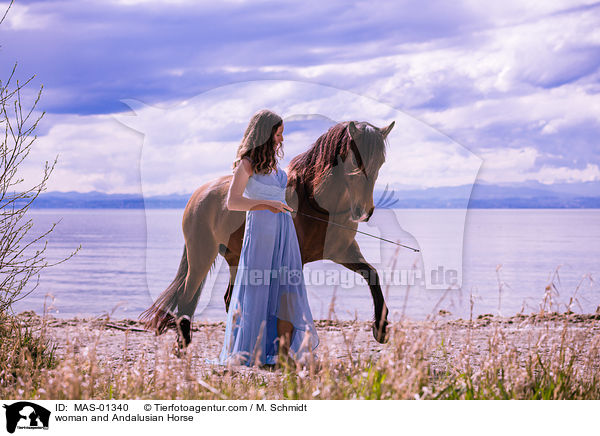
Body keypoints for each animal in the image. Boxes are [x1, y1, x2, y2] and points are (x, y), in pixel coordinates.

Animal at [139, 119, 396, 344]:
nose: (364, 211)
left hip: (235, 258)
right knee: (187, 297)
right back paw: (184, 347)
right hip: (201, 256)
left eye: (381, 162)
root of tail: (199, 194)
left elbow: (372, 274)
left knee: (230, 299)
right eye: (355, 161)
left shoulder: (344, 251)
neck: (315, 202)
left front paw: (381, 329)